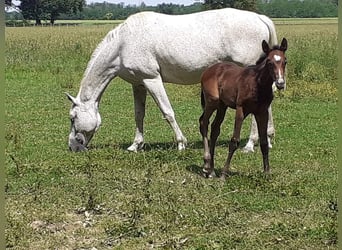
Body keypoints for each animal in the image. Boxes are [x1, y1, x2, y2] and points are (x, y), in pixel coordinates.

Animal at [66, 7, 280, 152]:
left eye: (72, 117)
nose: (73, 146)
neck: (123, 44)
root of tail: (259, 18)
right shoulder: (138, 84)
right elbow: (139, 114)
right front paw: (135, 145)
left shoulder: (152, 79)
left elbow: (167, 112)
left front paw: (180, 143)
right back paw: (268, 138)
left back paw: (250, 144)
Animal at [199, 37, 288, 179]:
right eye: (269, 62)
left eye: (285, 61)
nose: (280, 84)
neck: (257, 85)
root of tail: (208, 70)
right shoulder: (241, 110)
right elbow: (234, 141)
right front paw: (224, 174)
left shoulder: (262, 112)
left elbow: (264, 142)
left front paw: (267, 173)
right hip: (212, 102)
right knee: (203, 122)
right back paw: (207, 166)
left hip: (222, 106)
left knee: (215, 129)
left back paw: (212, 170)